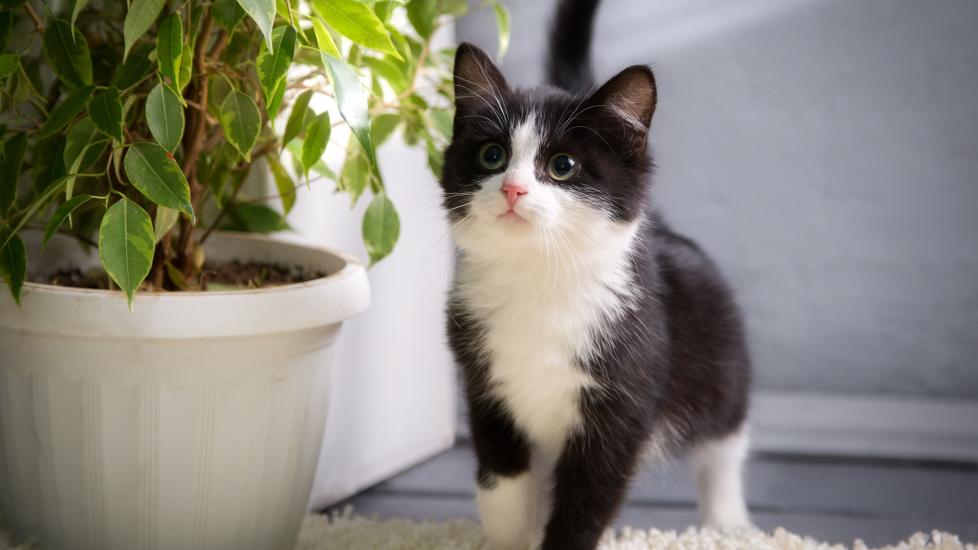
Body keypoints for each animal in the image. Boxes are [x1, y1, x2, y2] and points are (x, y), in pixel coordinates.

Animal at [438, 0, 752, 548]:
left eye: (562, 165)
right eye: (492, 155)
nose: (513, 190)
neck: (539, 281)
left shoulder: (624, 401)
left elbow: (587, 498)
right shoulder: (484, 388)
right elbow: (503, 484)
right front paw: (511, 536)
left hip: (719, 360)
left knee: (725, 440)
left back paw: (726, 521)